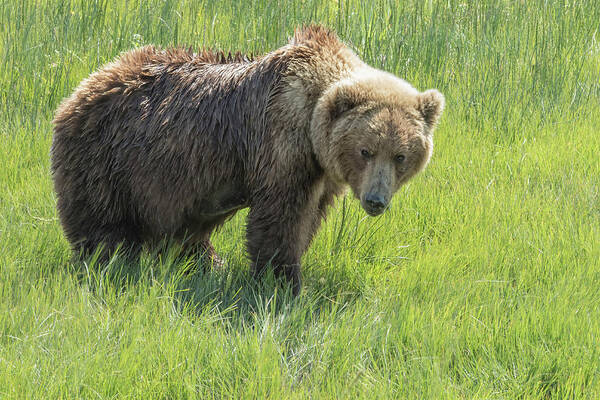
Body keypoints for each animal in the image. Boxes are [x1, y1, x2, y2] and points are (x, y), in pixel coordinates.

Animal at [51, 25, 442, 294]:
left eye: (401, 155)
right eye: (366, 150)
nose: (376, 200)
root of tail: (79, 90)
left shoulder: (322, 172)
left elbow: (309, 218)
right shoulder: (281, 143)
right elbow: (279, 218)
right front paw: (282, 281)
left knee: (183, 228)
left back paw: (207, 263)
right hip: (109, 158)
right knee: (102, 224)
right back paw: (110, 259)